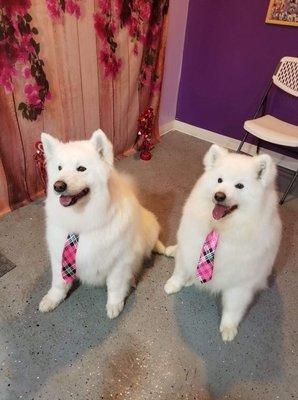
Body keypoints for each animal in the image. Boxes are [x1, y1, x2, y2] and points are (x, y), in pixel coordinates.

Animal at [38, 130, 164, 318]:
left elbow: (115, 286)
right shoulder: (59, 255)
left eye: (81, 168)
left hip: (149, 230)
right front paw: (52, 299)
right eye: (59, 168)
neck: (81, 221)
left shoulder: (119, 261)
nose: (58, 186)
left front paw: (114, 305)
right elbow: (59, 282)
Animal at [164, 145, 280, 342]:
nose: (219, 195)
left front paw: (228, 328)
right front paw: (173, 284)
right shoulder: (190, 247)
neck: (219, 228)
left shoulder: (241, 282)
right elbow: (179, 271)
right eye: (219, 180)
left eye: (239, 185)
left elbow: (233, 307)